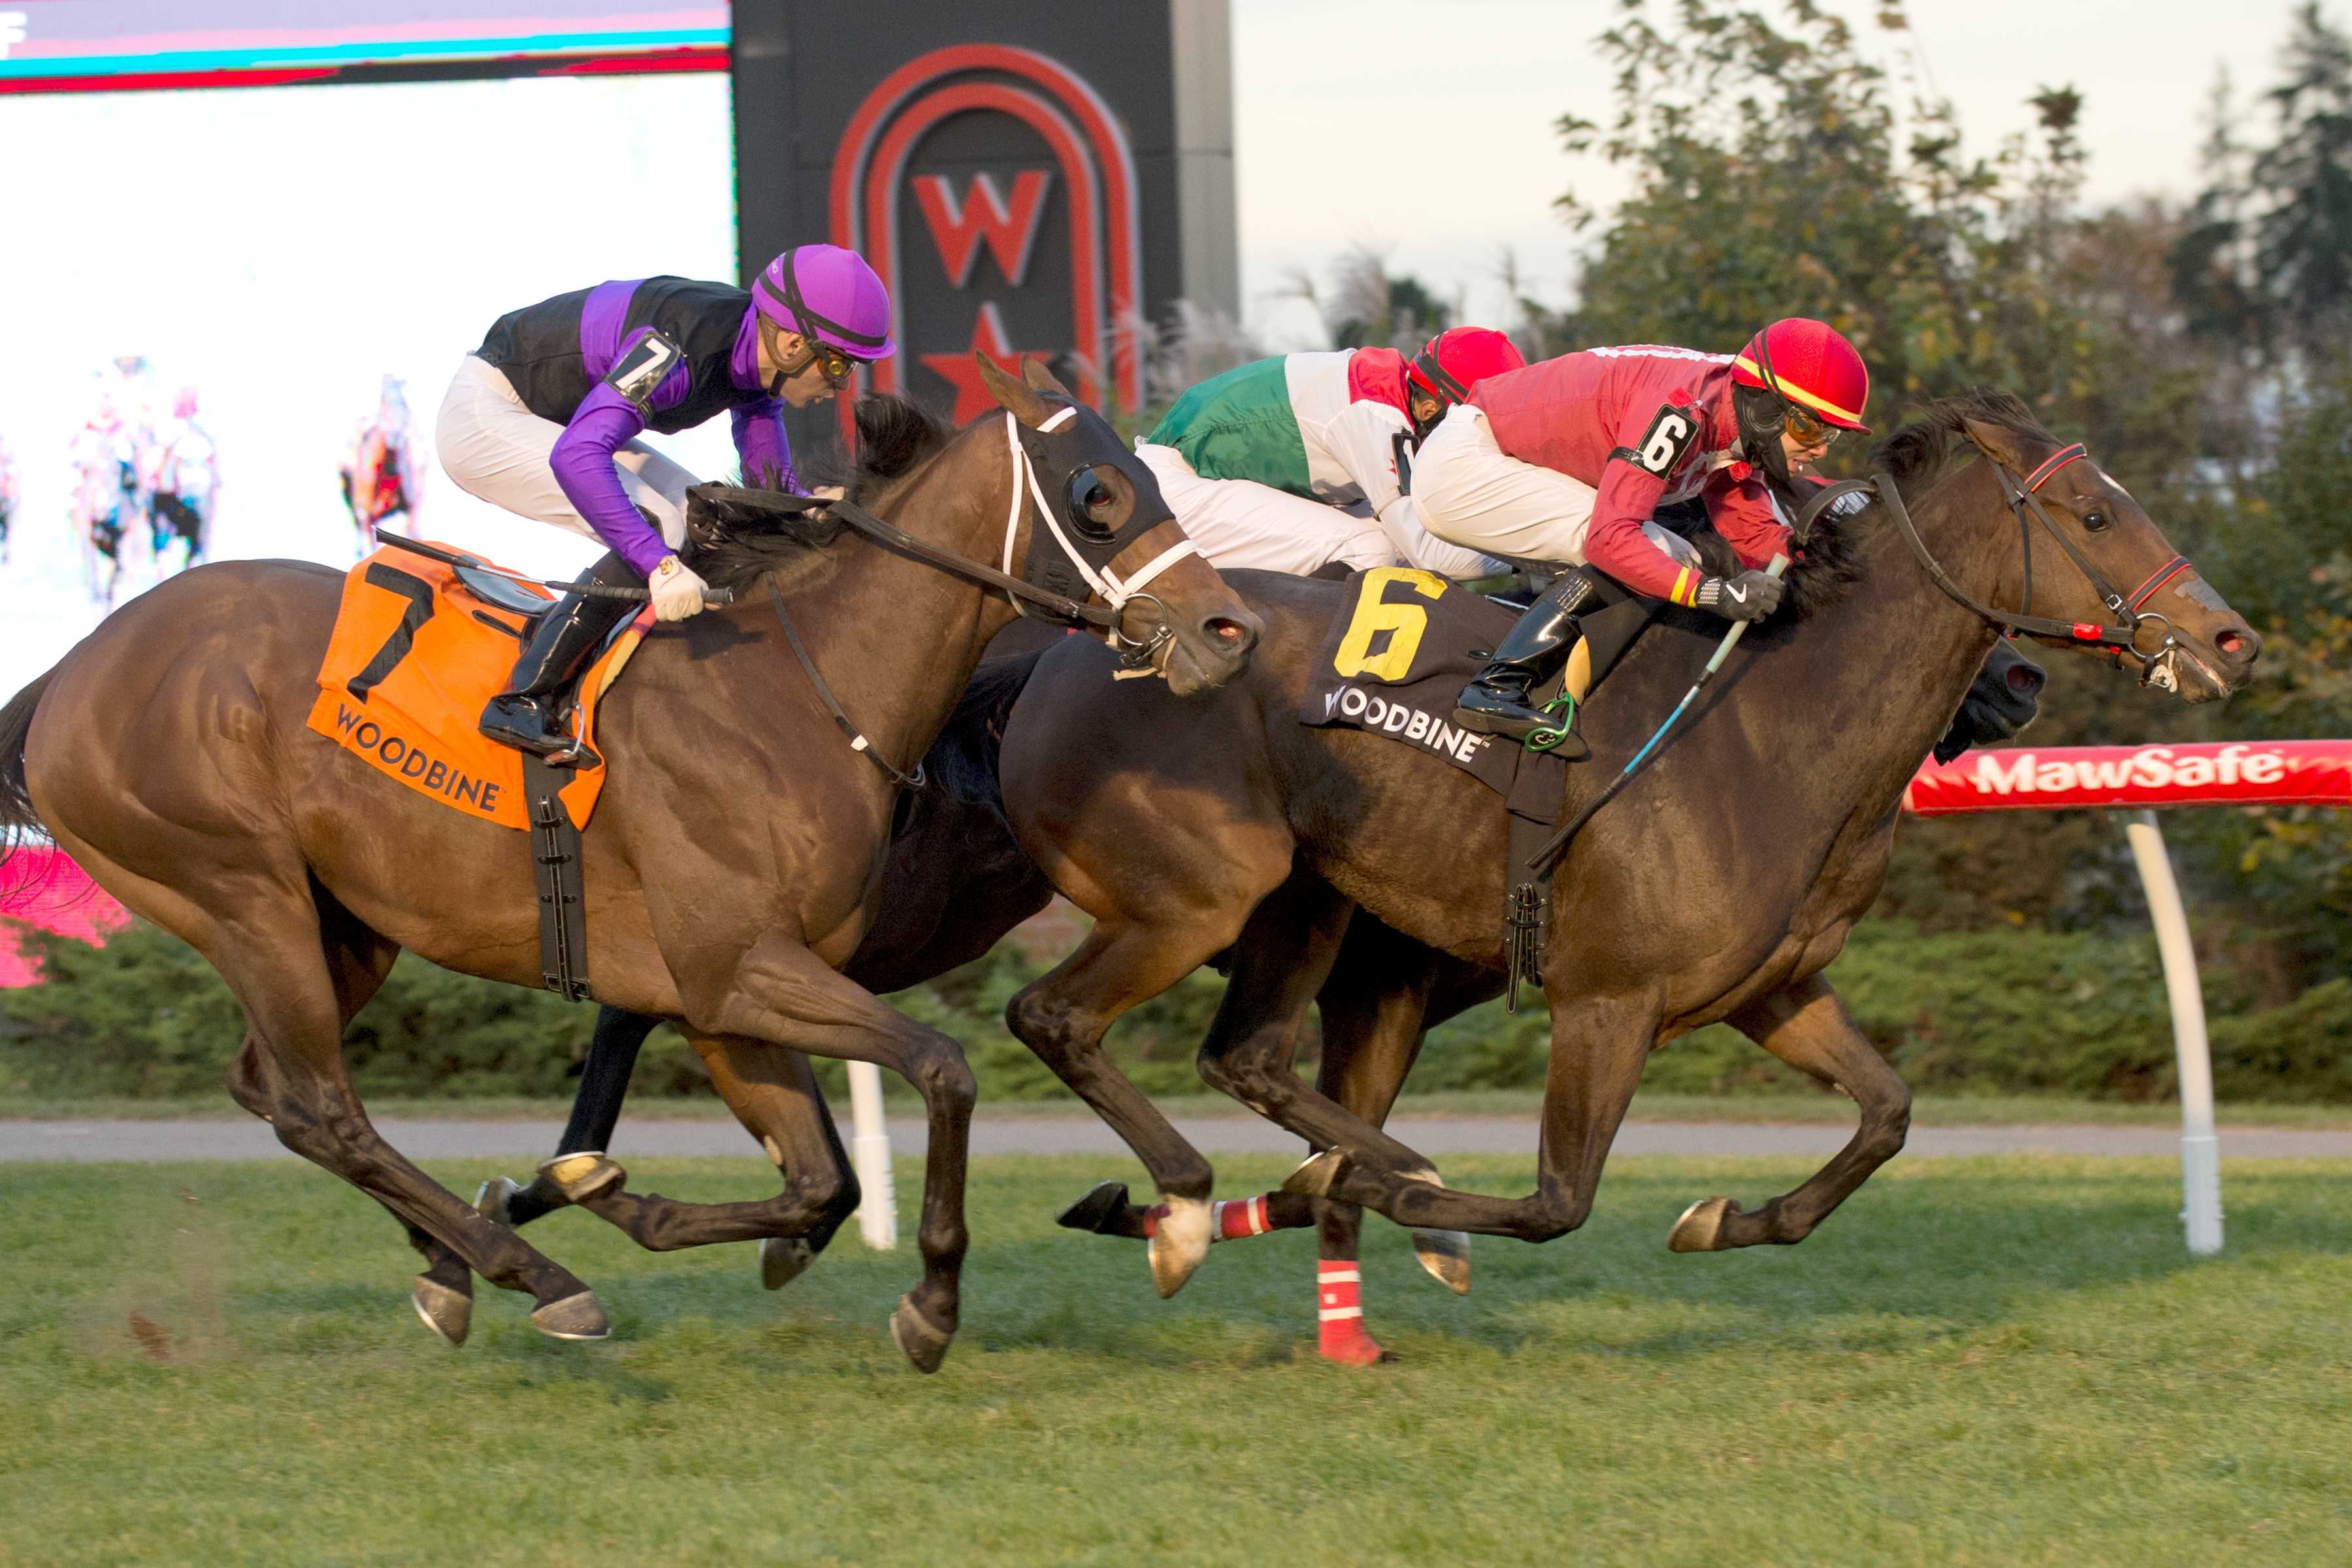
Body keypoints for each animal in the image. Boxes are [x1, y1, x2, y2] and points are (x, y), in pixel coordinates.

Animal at [988, 392, 2258, 1298]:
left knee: (1245, 1057)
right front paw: (1418, 1210)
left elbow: (1887, 1115)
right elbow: (1558, 1199)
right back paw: (1206, 1206)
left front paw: (1726, 1219)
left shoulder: (1770, 988)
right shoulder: (1604, 1000)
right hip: (1204, 894)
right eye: (2094, 515)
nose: (2229, 638)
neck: (1768, 725)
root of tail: (1069, 651)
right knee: (1058, 1018)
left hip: (1304, 904)